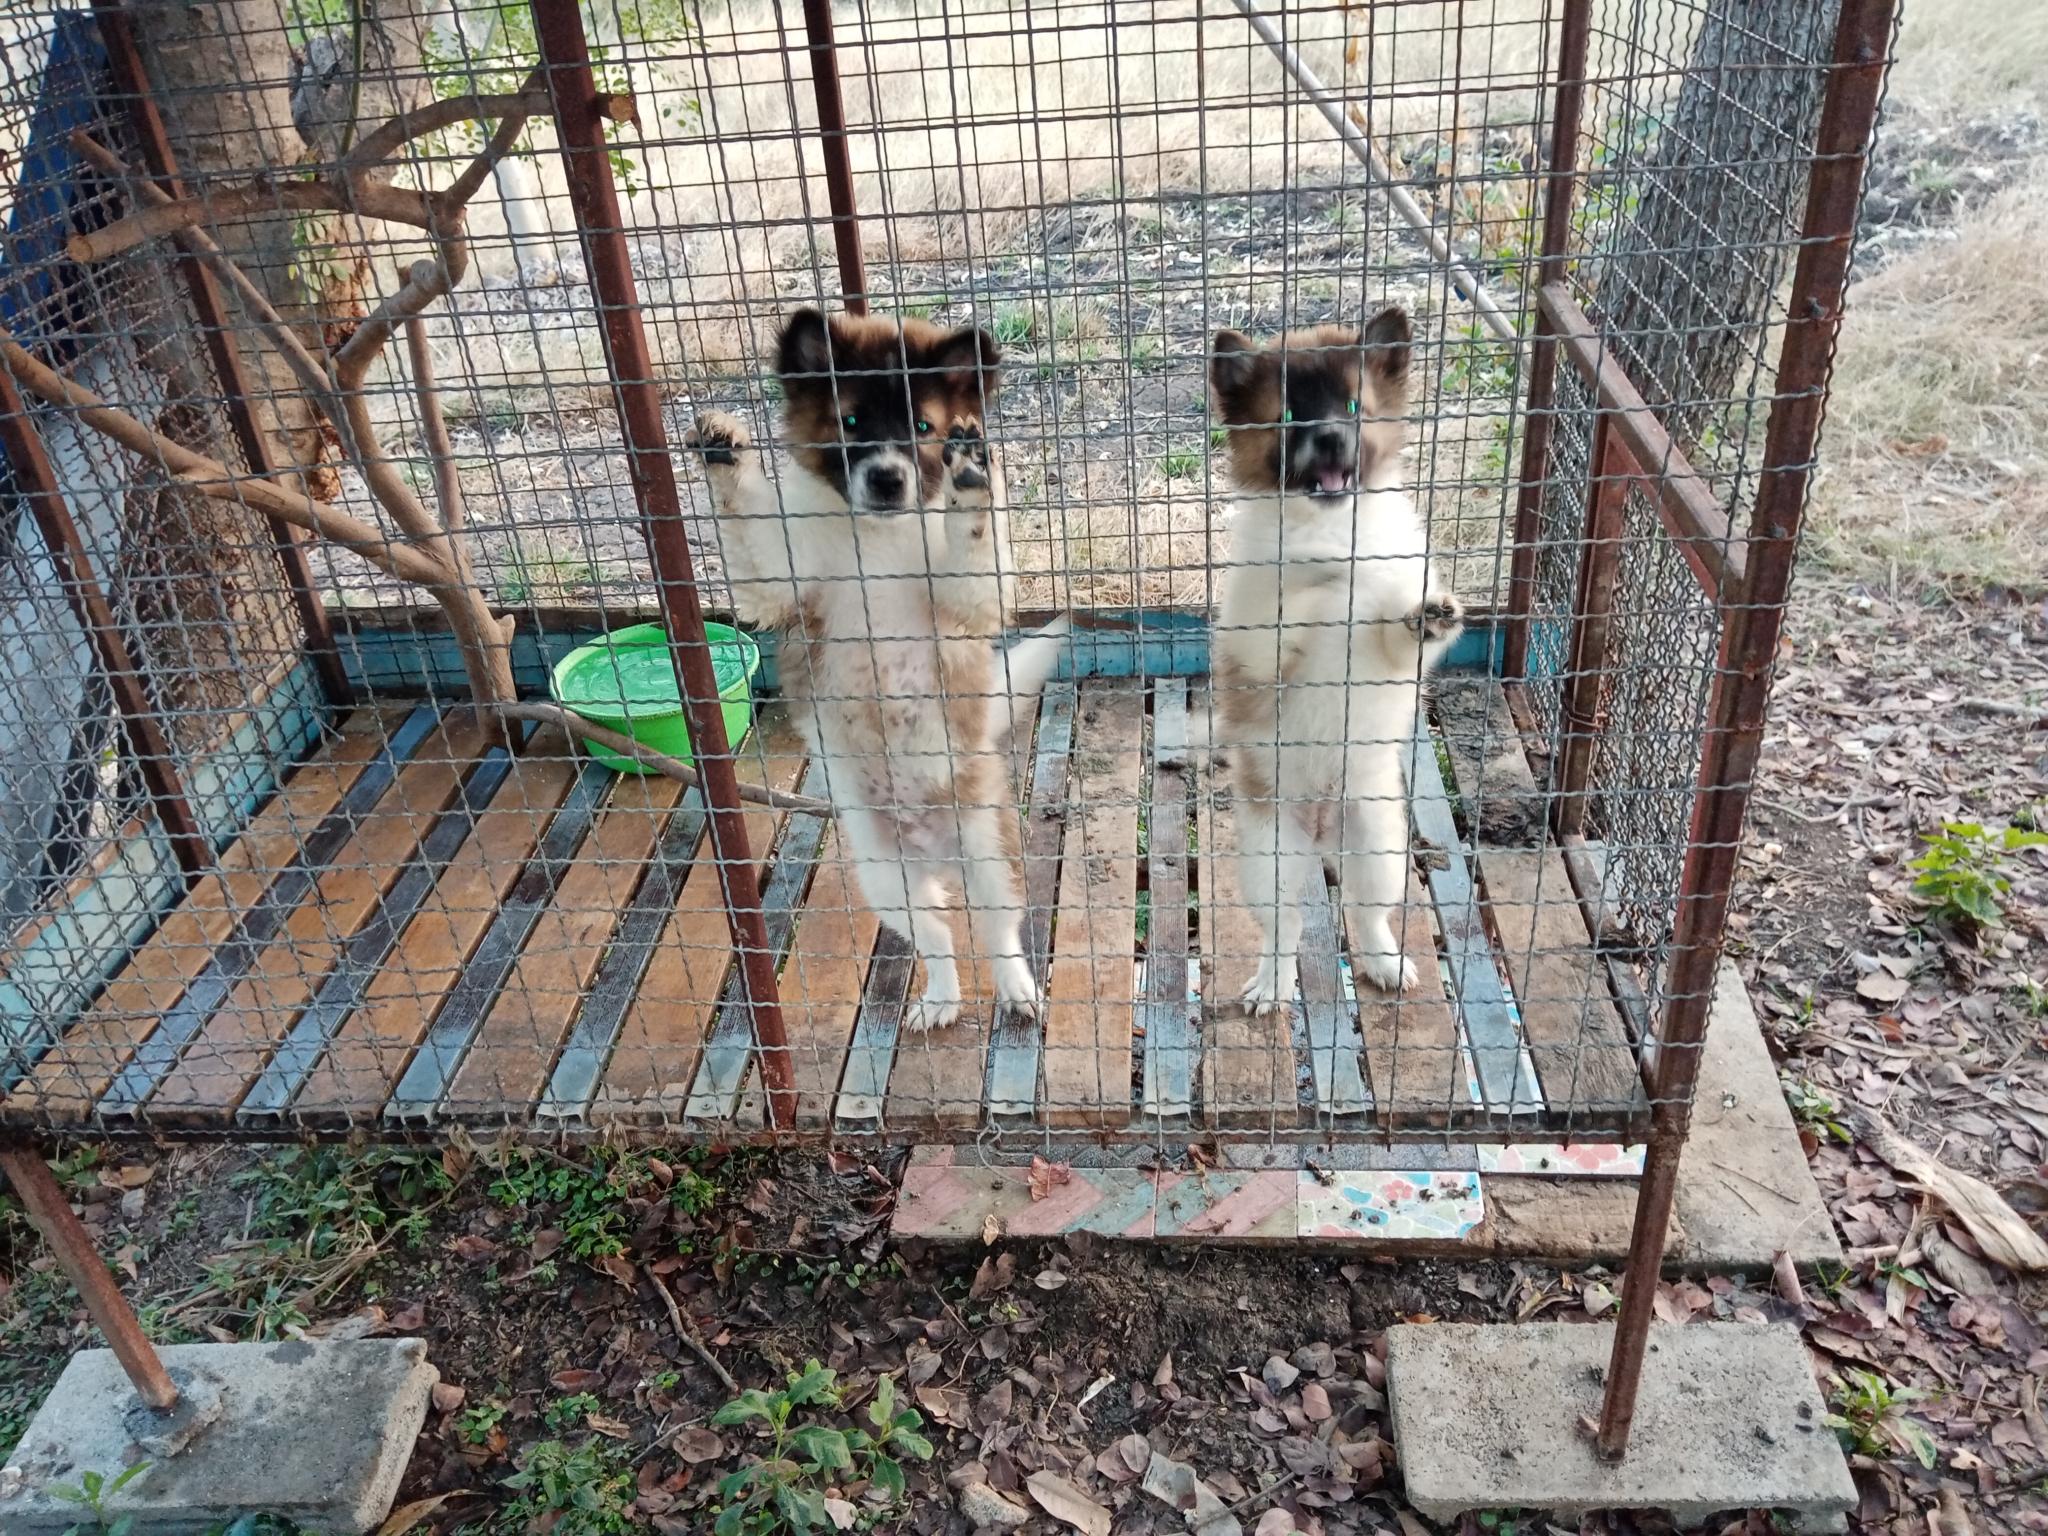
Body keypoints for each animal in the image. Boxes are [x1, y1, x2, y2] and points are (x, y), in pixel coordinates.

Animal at [689, 307, 1067, 1032]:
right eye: (852, 422)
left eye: (923, 427)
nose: (888, 480)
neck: (877, 538)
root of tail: (930, 848)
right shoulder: (782, 586)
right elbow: (750, 535)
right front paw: (726, 451)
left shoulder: (966, 600)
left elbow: (976, 549)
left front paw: (972, 480)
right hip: (884, 878)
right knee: (940, 938)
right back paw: (941, 1000)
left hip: (989, 852)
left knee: (998, 933)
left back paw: (1018, 991)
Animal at [1207, 308, 1463, 1015]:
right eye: (1291, 416)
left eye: (1353, 408)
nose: (1327, 439)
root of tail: (1321, 831)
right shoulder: (1255, 640)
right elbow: (1311, 596)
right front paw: (1332, 580)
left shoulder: (1396, 644)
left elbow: (1397, 615)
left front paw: (1426, 607)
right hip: (1267, 861)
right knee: (1286, 930)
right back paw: (1270, 988)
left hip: (1380, 846)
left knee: (1365, 914)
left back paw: (1384, 965)